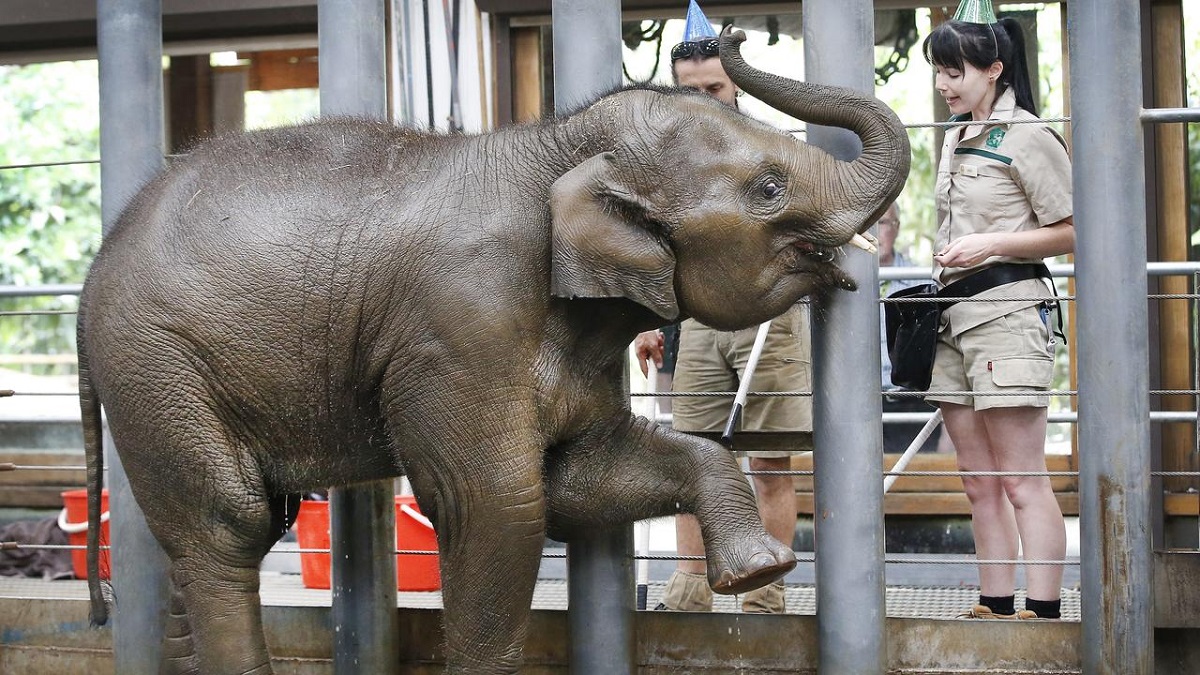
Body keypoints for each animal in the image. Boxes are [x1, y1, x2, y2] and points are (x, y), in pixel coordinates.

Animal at [82, 27, 907, 672]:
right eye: (768, 189)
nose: (727, 36)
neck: (556, 141)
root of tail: (95, 268)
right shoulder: (460, 325)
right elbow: (499, 504)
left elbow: (579, 479)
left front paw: (758, 569)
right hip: (155, 362)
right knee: (231, 524)